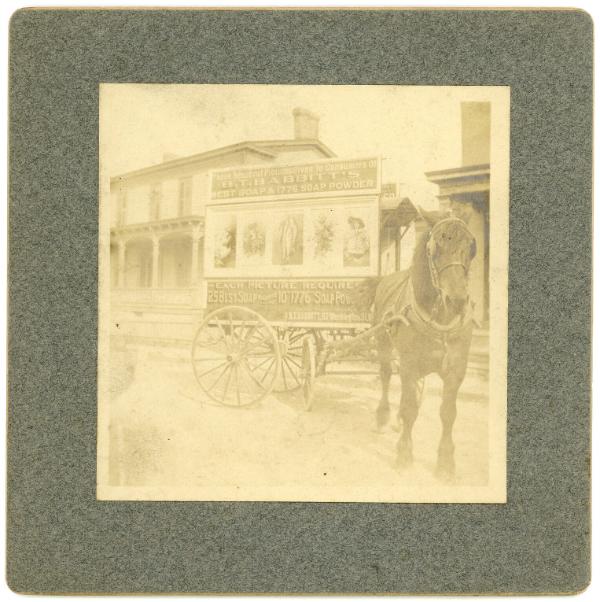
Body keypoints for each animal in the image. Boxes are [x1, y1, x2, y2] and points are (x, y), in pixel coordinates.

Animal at [356, 207, 478, 478]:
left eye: (470, 245)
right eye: (435, 248)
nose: (457, 300)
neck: (441, 320)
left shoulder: (456, 370)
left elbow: (448, 413)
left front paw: (445, 462)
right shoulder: (409, 365)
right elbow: (410, 408)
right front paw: (404, 453)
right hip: (383, 344)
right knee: (386, 375)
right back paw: (383, 416)